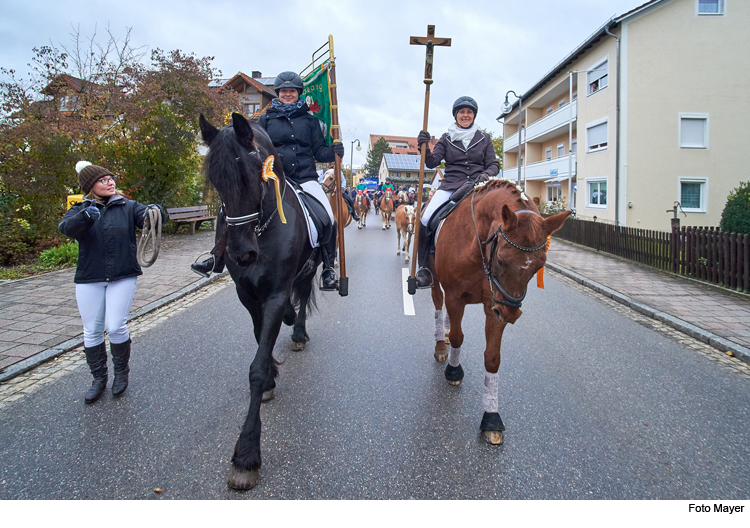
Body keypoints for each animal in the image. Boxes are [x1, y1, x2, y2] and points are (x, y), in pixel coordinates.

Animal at [200, 111, 326, 490]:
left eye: (253, 172)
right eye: (215, 179)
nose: (241, 253)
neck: (263, 229)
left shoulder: (274, 293)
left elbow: (255, 367)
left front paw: (246, 455)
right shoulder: (247, 295)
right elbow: (260, 340)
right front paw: (271, 375)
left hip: (311, 267)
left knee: (304, 293)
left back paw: (297, 332)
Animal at [428, 178, 568, 446]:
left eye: (539, 266)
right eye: (502, 259)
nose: (511, 315)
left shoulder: (494, 305)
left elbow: (492, 358)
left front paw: (491, 418)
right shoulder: (455, 297)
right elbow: (459, 336)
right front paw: (453, 370)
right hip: (434, 280)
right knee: (438, 305)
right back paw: (441, 344)